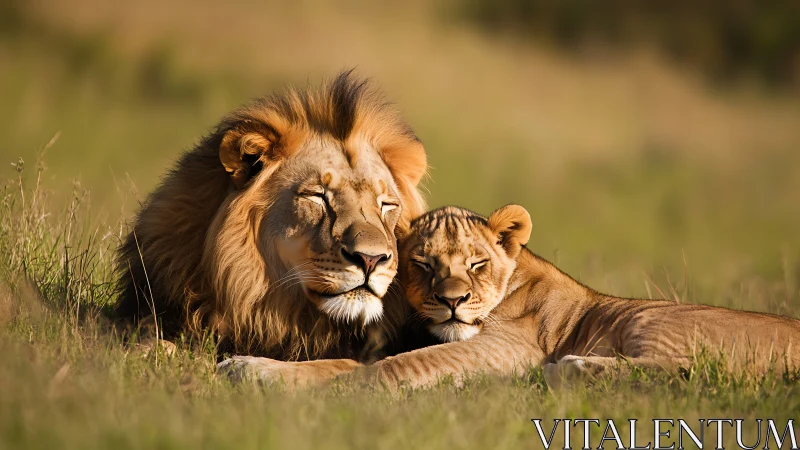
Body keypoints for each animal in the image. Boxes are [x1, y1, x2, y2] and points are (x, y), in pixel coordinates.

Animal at [220, 204, 800, 389]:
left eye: (477, 264)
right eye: (423, 264)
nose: (453, 301)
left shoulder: (507, 350)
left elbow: (388, 369)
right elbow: (337, 363)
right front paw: (249, 367)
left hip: (652, 322)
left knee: (691, 368)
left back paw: (572, 368)